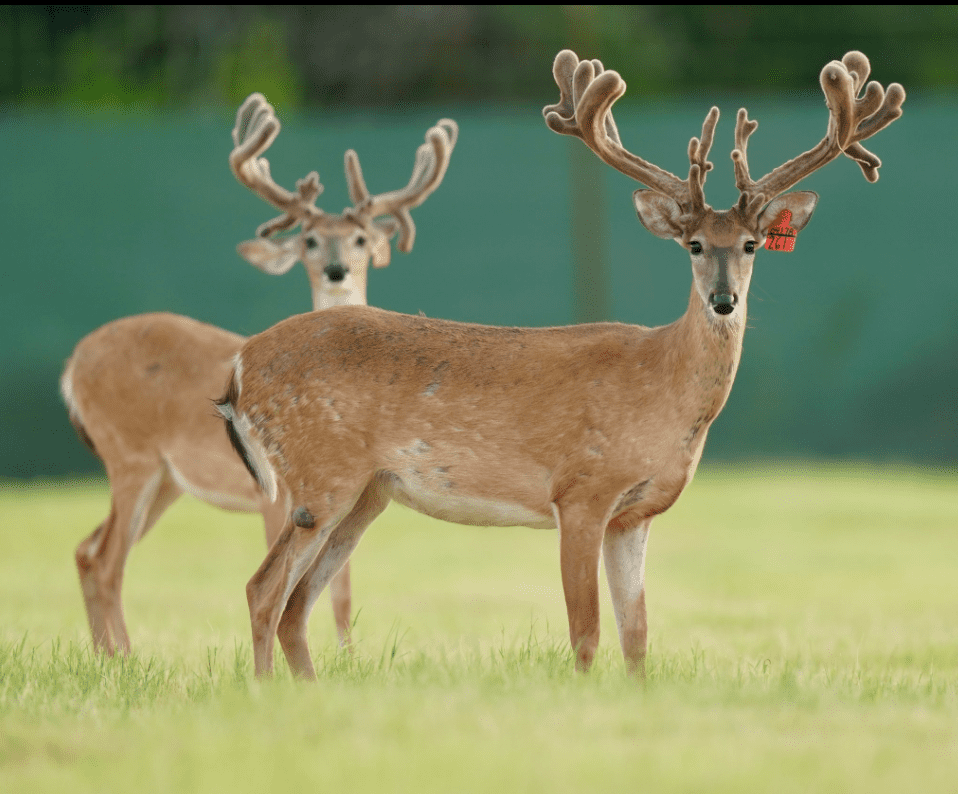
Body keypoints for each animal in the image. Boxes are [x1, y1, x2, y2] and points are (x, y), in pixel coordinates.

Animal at [60, 93, 457, 656]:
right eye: (309, 239)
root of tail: (72, 364)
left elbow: (342, 585)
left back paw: (107, 656)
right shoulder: (274, 497)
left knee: (86, 549)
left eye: (360, 238)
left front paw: (346, 654)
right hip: (129, 454)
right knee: (107, 560)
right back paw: (126, 659)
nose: (337, 270)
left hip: (165, 479)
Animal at [215, 50, 904, 680]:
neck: (665, 389)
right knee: (263, 589)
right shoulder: (580, 491)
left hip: (367, 491)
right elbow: (587, 631)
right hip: (321, 472)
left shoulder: (635, 512)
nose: (724, 299)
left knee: (296, 605)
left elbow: (637, 635)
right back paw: (264, 693)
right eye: (694, 245)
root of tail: (241, 365)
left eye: (753, 244)